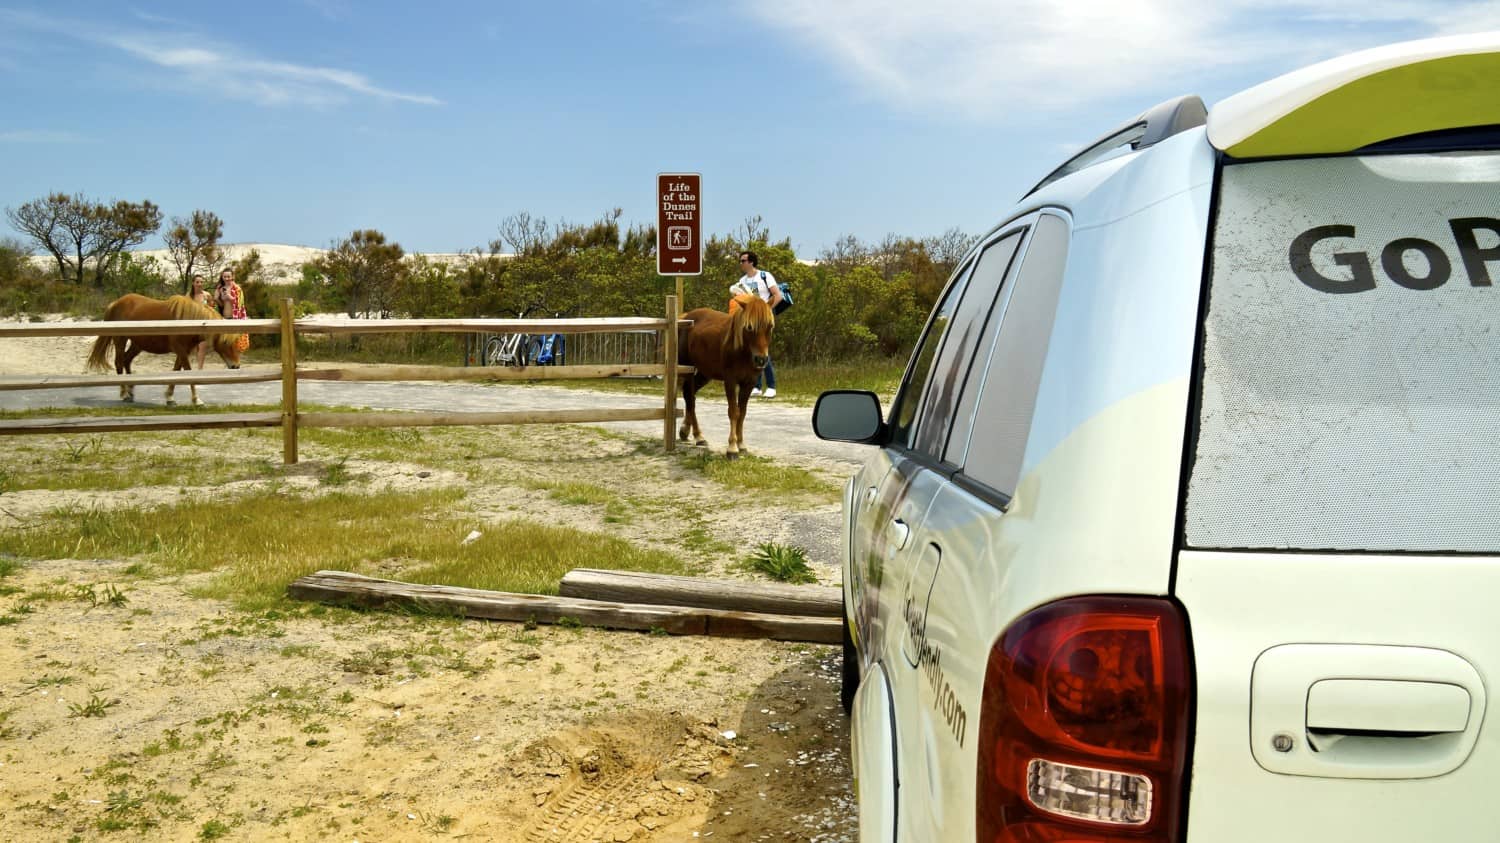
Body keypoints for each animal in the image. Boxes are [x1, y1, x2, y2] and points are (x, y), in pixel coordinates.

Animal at [87, 292, 243, 405]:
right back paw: (125, 394)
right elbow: (188, 373)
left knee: (126, 360)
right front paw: (196, 400)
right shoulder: (181, 351)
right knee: (119, 363)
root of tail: (116, 303)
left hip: (138, 345)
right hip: (120, 341)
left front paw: (170, 397)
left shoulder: (183, 352)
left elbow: (176, 371)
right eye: (226, 342)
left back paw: (131, 392)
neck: (187, 321)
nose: (236, 366)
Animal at [678, 292, 774, 456]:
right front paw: (732, 448)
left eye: (770, 326)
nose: (761, 359)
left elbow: (742, 413)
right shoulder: (730, 380)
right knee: (690, 398)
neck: (743, 351)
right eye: (749, 327)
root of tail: (686, 317)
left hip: (705, 374)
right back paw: (698, 435)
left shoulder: (749, 383)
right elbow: (733, 412)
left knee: (690, 396)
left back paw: (687, 431)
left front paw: (741, 444)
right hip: (688, 369)